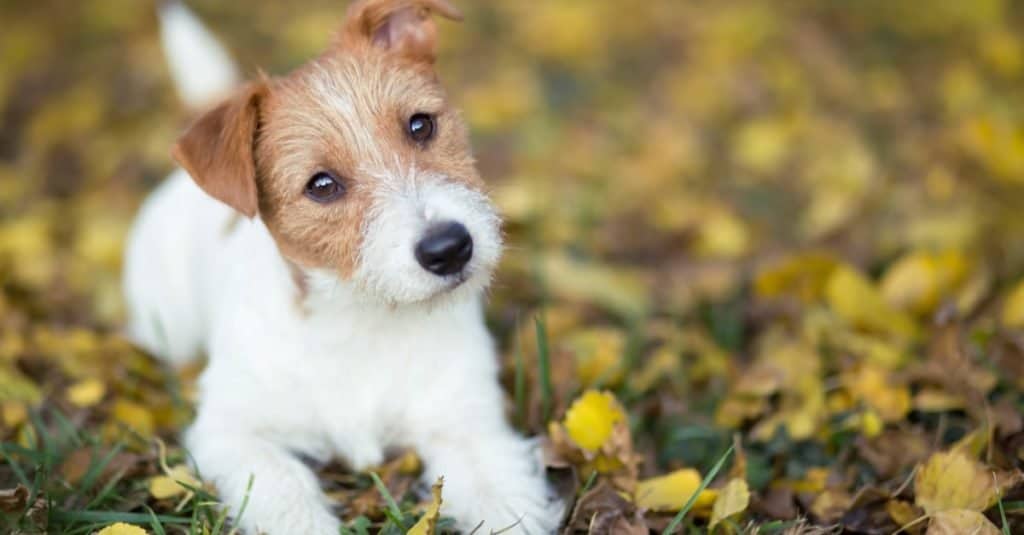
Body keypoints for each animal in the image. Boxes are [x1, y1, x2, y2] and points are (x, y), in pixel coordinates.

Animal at [125, 2, 569, 528]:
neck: (364, 318)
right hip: (167, 328)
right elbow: (285, 490)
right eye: (321, 185)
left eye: (420, 125)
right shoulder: (233, 432)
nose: (449, 248)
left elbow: (501, 499)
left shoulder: (465, 422)